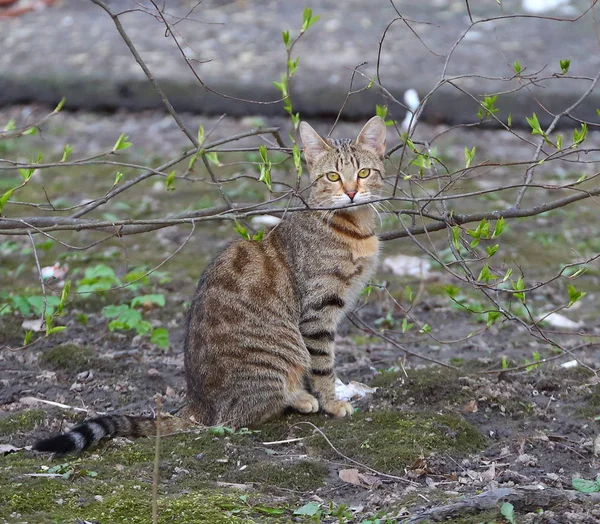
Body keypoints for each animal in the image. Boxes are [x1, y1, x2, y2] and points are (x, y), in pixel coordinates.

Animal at [32, 115, 386, 454]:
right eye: (333, 177)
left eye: (364, 172)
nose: (351, 192)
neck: (354, 229)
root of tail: (197, 403)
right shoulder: (317, 311)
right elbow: (323, 365)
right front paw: (331, 402)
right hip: (282, 350)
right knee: (244, 413)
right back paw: (297, 397)